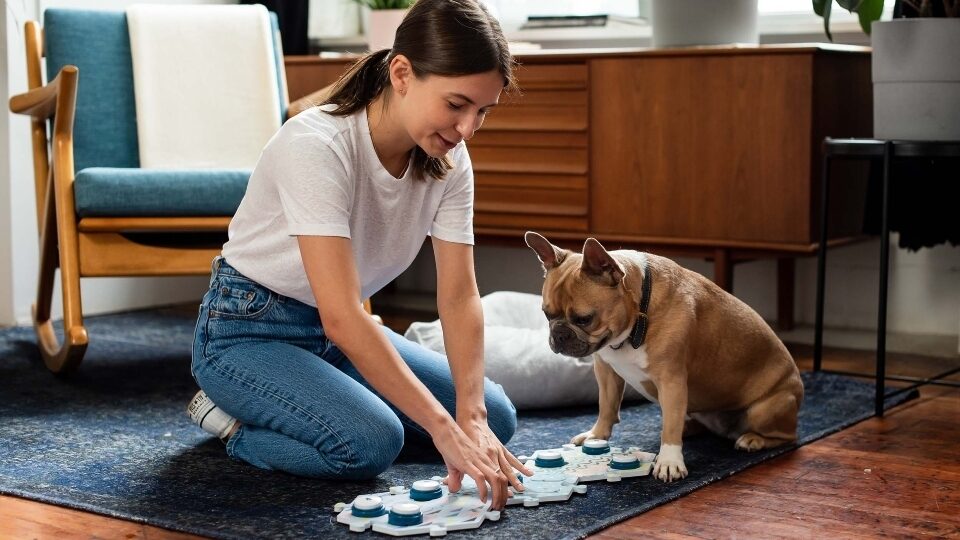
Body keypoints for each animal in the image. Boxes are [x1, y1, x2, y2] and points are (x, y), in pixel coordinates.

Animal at [524, 231, 804, 480]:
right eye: (547, 314)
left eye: (584, 319)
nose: (559, 334)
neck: (637, 316)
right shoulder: (606, 371)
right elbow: (607, 405)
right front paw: (596, 435)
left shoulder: (672, 381)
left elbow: (669, 427)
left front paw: (669, 461)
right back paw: (690, 427)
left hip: (765, 411)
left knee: (787, 436)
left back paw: (753, 439)